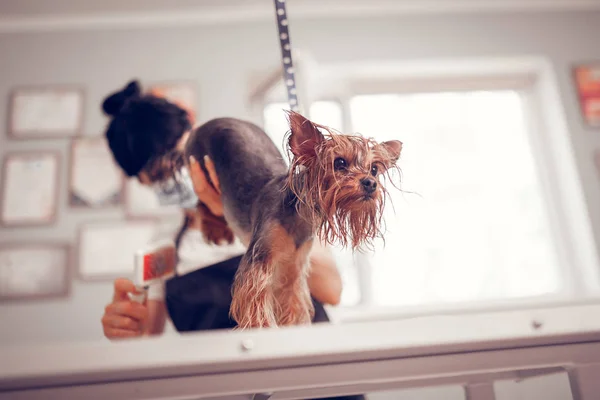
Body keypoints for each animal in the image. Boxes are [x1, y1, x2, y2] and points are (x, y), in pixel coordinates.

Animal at [185, 110, 400, 328]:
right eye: (339, 163)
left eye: (374, 169)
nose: (370, 183)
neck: (297, 215)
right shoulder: (259, 263)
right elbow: (256, 308)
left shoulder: (293, 269)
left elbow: (292, 304)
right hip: (200, 167)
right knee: (202, 205)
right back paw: (215, 229)